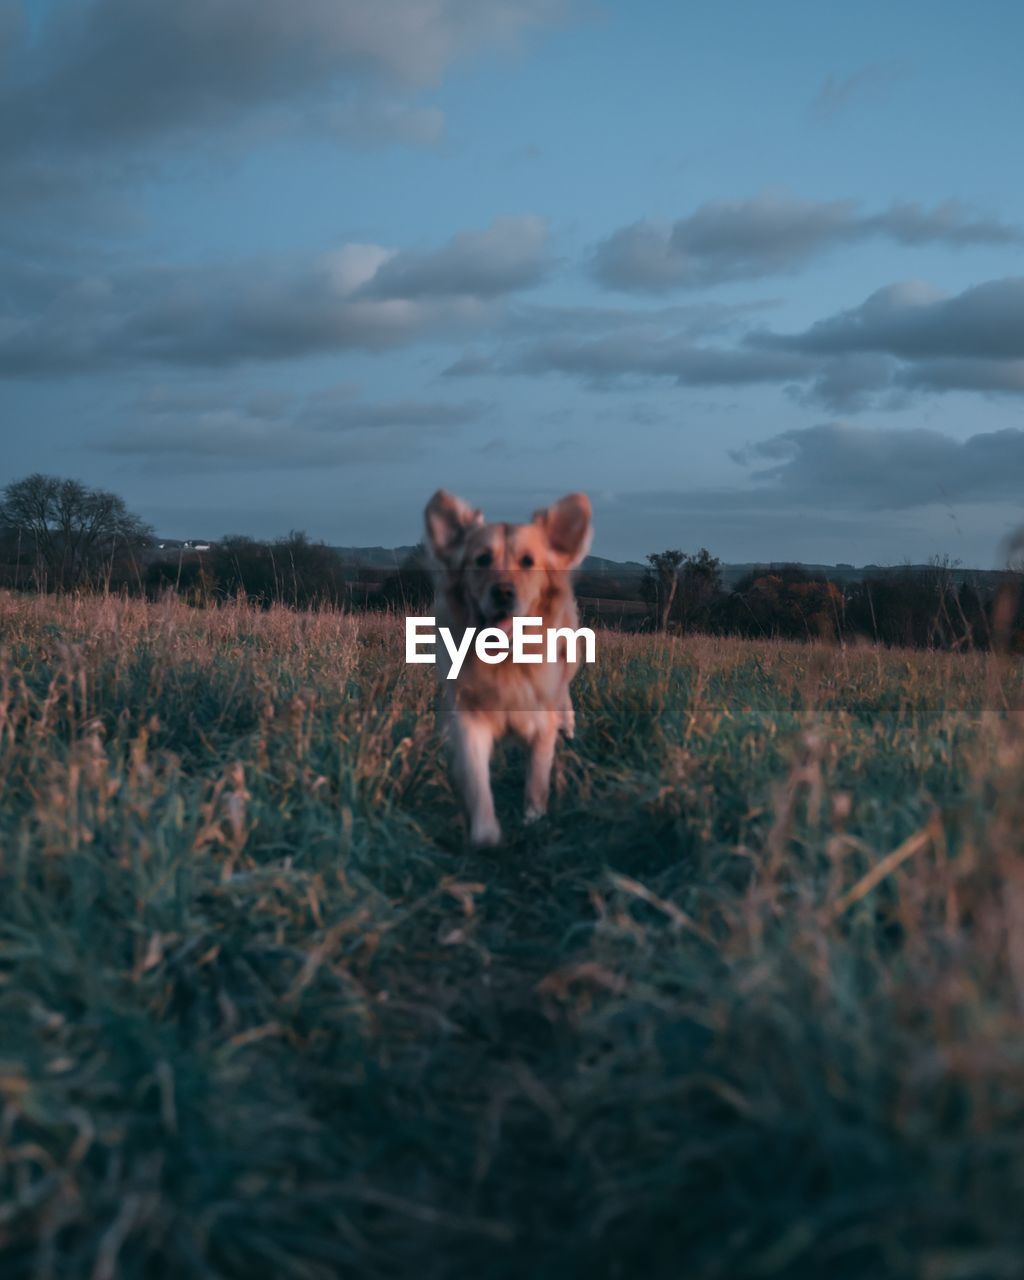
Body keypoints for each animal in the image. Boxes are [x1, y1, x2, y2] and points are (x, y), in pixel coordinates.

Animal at [419, 491, 588, 849]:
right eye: (482, 559)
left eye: (528, 561)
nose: (503, 592)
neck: (506, 661)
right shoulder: (471, 718)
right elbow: (476, 779)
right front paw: (485, 834)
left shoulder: (540, 725)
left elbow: (537, 780)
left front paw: (533, 822)